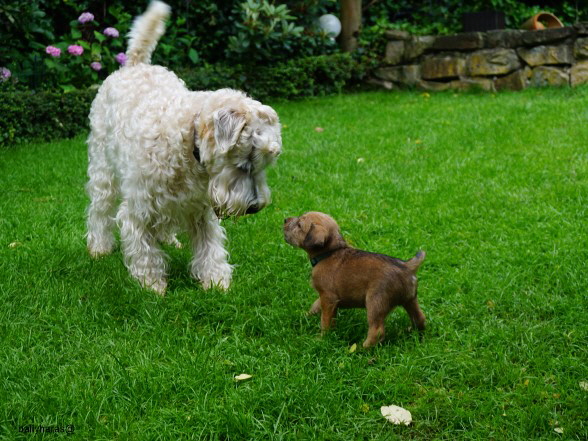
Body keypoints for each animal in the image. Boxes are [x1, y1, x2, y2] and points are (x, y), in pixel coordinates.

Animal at [84, 1, 282, 294]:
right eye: (244, 162)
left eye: (263, 164)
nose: (255, 207)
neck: (187, 139)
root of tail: (134, 64)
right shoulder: (139, 207)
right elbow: (144, 248)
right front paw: (152, 284)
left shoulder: (199, 207)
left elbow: (210, 246)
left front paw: (216, 281)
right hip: (103, 169)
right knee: (99, 209)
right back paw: (98, 247)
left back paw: (170, 240)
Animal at [282, 212, 424, 348]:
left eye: (299, 225)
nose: (285, 220)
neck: (330, 252)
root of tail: (407, 266)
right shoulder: (324, 297)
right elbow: (315, 306)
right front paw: (305, 317)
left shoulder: (328, 297)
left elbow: (325, 320)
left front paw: (322, 338)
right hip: (410, 300)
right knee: (420, 318)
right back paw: (416, 334)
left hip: (375, 303)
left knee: (377, 331)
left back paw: (360, 349)